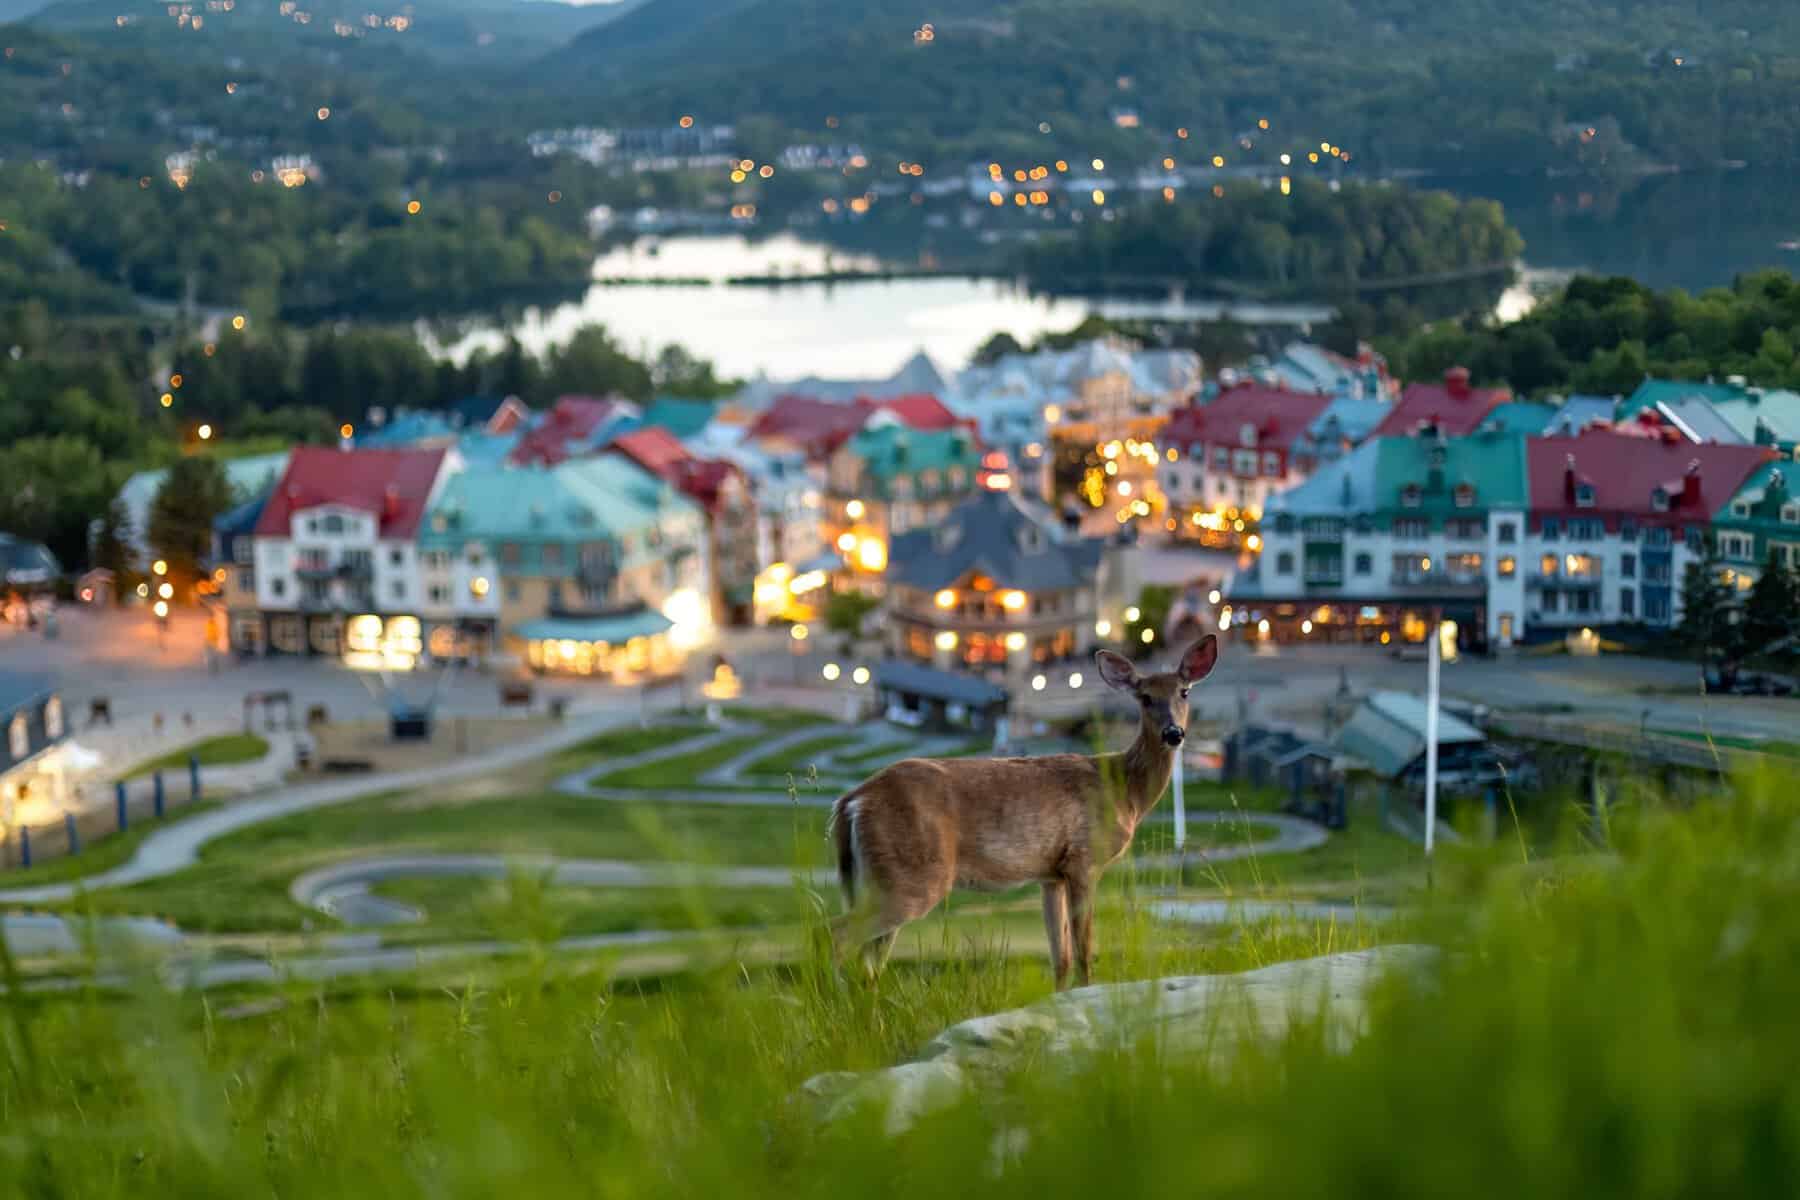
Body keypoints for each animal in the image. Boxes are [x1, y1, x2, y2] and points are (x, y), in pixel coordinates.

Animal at [828, 635, 1219, 989]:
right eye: (1145, 697)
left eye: (1184, 692)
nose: (1173, 733)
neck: (1125, 790)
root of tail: (851, 801)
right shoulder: (1083, 860)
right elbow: (1084, 952)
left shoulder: (1051, 874)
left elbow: (1060, 958)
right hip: (912, 874)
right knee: (836, 932)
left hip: (872, 877)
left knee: (869, 959)